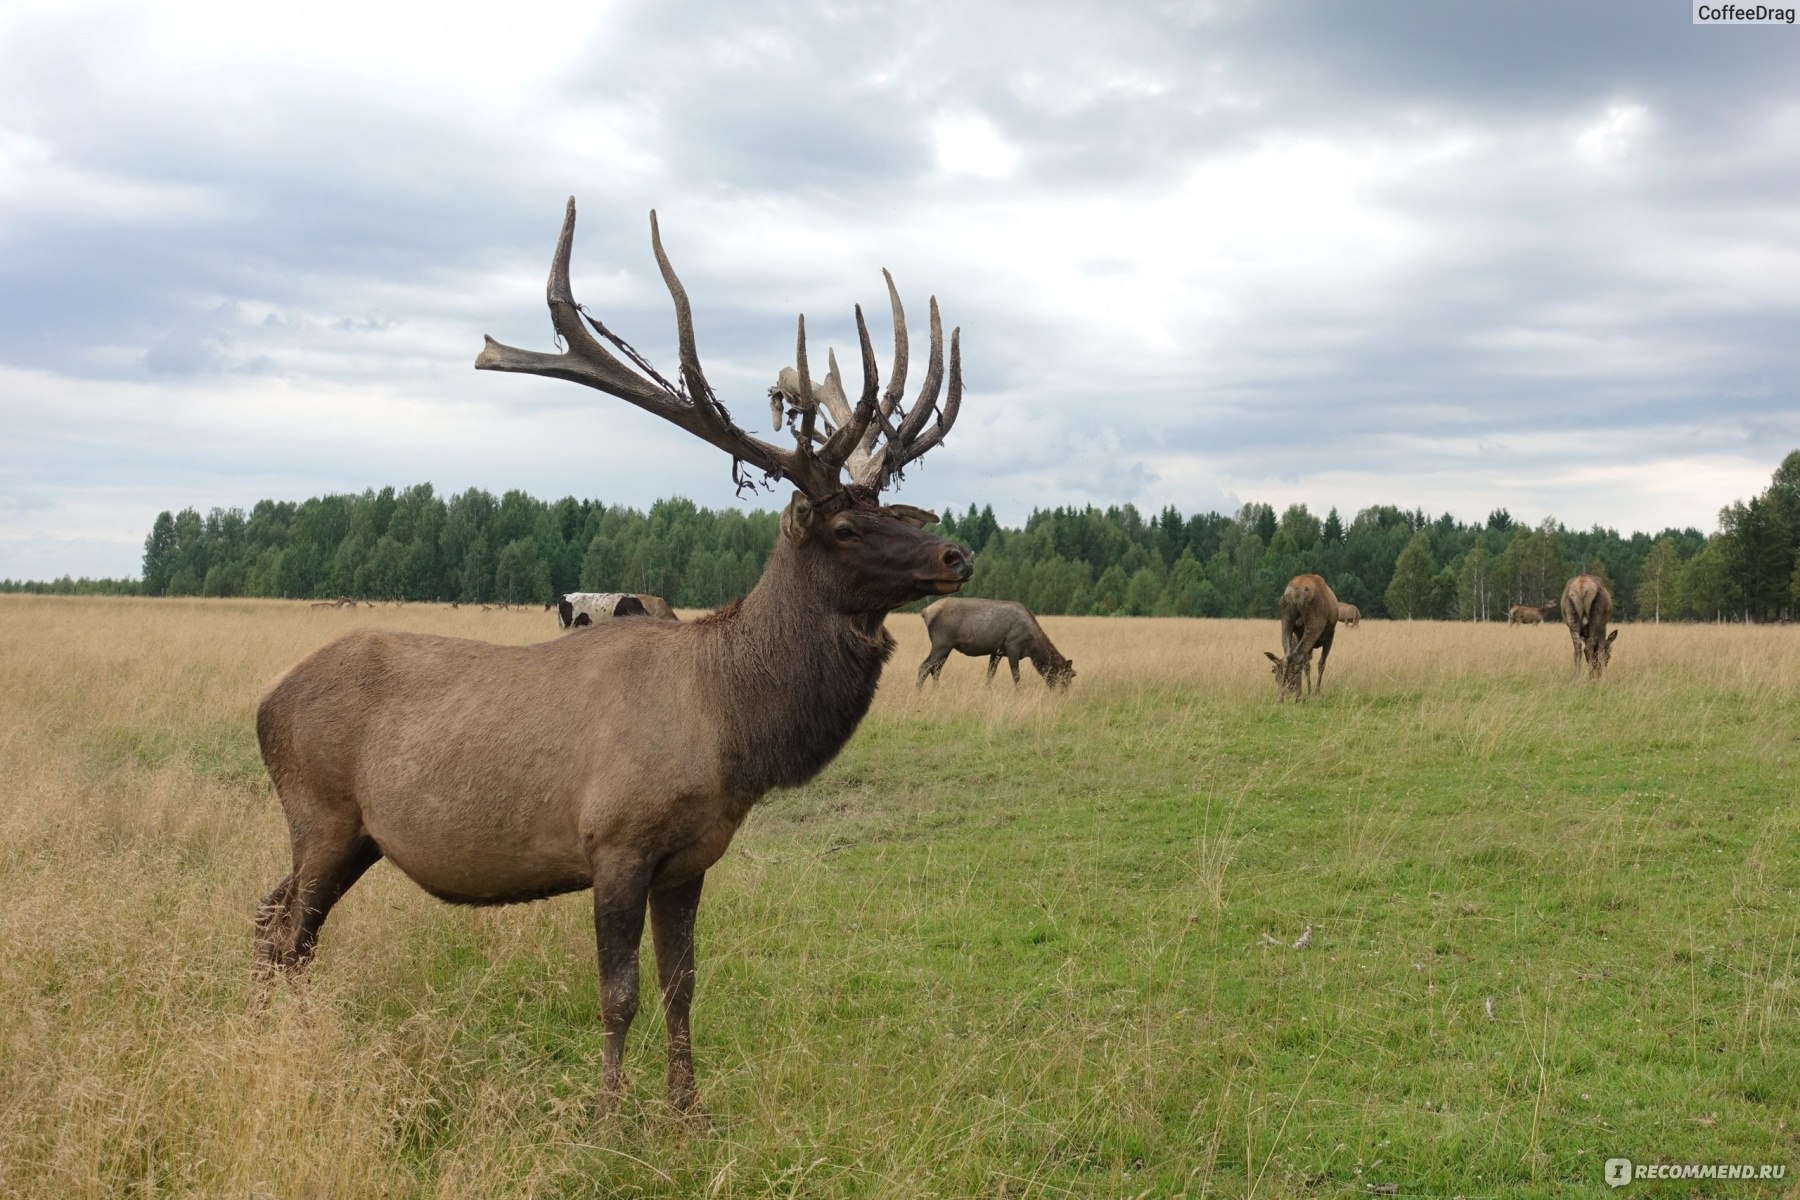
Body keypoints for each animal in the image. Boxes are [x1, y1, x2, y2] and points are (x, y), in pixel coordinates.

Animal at [257, 199, 972, 1129]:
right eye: (847, 526)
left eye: (892, 507)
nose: (956, 554)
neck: (731, 725)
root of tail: (264, 703)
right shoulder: (617, 843)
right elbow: (619, 992)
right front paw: (603, 1116)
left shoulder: (692, 858)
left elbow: (682, 986)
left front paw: (689, 1113)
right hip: (321, 812)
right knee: (288, 933)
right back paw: (293, 1052)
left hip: (348, 835)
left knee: (268, 918)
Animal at [914, 597, 1065, 690]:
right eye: (1066, 676)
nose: (1062, 693)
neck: (1033, 648)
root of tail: (925, 612)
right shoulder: (1013, 646)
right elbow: (1016, 675)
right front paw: (1019, 693)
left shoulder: (996, 651)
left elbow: (990, 674)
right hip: (942, 643)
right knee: (925, 666)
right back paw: (918, 692)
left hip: (946, 647)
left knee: (936, 668)